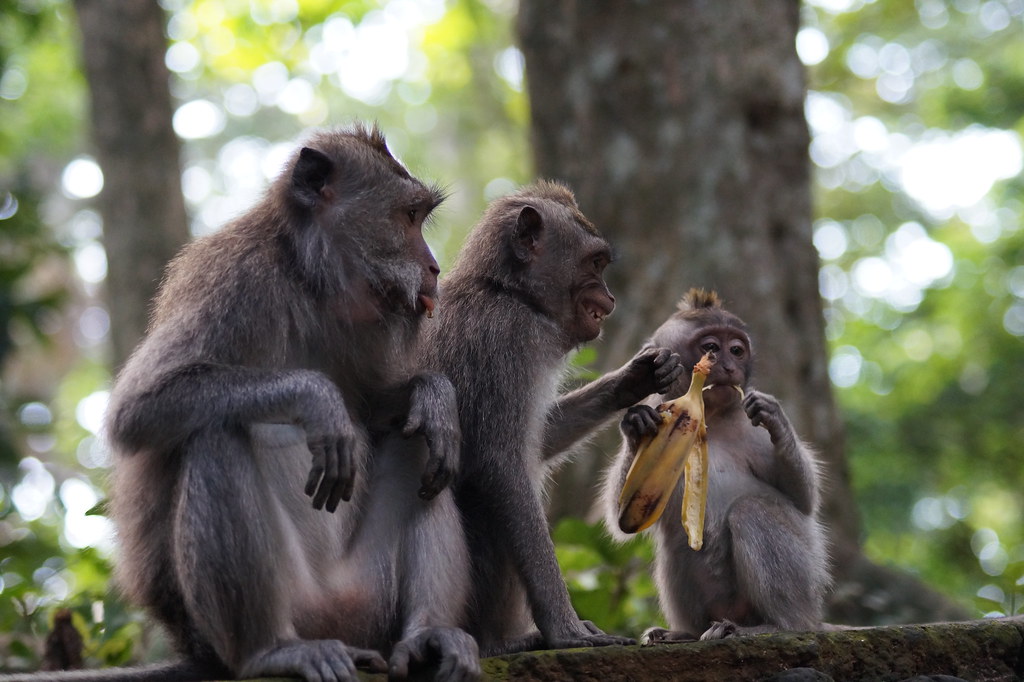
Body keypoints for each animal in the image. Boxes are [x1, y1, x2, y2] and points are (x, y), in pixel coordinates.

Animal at [97, 123, 477, 679]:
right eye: (407, 217)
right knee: (216, 434)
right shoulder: (233, 281)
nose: (434, 268)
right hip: (270, 615)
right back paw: (271, 650)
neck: (305, 277)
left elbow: (375, 408)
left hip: (368, 597)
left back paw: (428, 634)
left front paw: (434, 394)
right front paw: (317, 399)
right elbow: (139, 410)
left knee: (421, 442)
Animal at [419, 179, 684, 655]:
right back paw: (502, 643)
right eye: (594, 263)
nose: (610, 298)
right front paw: (566, 630)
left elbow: (540, 440)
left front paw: (636, 379)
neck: (507, 291)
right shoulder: (506, 337)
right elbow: (502, 464)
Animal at [598, 288, 831, 638]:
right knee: (675, 542)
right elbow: (620, 520)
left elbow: (804, 499)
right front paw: (636, 426)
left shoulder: (752, 430)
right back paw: (684, 633)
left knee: (752, 510)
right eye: (710, 348)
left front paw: (776, 419)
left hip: (805, 589)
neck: (712, 417)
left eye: (736, 350)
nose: (729, 366)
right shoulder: (659, 406)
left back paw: (777, 626)